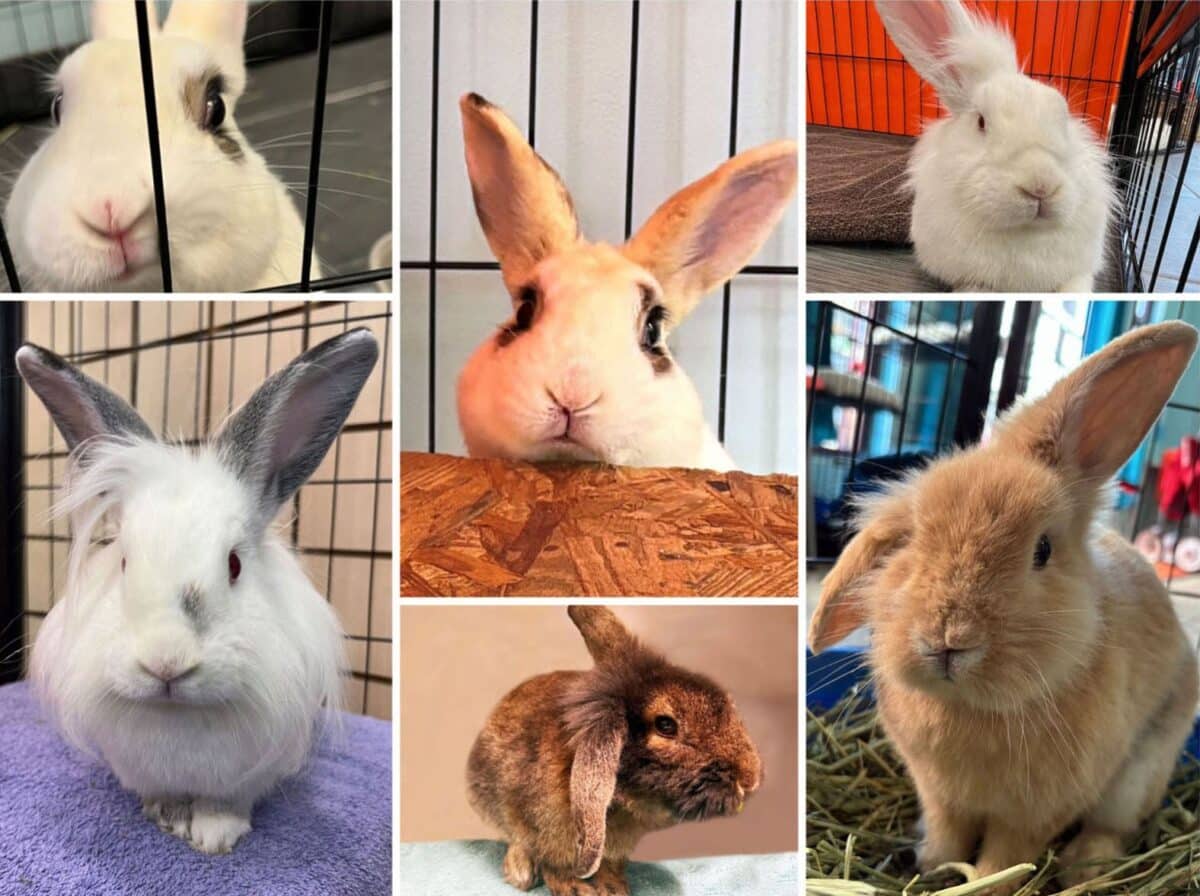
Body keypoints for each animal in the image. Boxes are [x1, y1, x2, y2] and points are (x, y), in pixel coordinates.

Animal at [17, 327, 379, 854]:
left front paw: (214, 836)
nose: (166, 664)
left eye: (234, 564)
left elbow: (223, 804)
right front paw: (166, 816)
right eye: (123, 562)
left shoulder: (248, 776)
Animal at [467, 606, 762, 896]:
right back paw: (522, 872)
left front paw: (614, 886)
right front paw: (577, 888)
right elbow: (553, 863)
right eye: (665, 725)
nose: (750, 779)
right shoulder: (541, 829)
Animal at [808, 322, 1200, 892]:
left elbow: (1004, 857)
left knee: (1111, 827)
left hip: (1139, 777)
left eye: (1043, 550)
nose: (948, 639)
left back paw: (1084, 866)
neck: (972, 708)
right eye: (913, 538)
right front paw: (931, 868)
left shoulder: (1034, 814)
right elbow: (948, 837)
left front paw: (985, 885)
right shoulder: (940, 795)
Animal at [874, 0, 1114, 292]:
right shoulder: (972, 279)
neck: (1025, 232)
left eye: (1064, 114)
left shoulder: (1079, 271)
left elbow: (1075, 289)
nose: (1041, 185)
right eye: (981, 122)